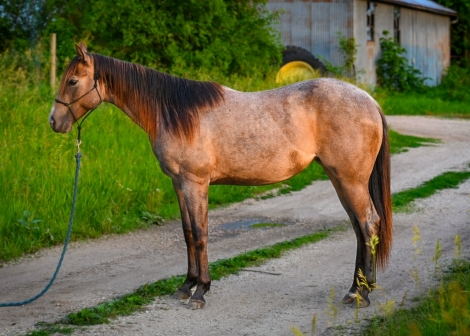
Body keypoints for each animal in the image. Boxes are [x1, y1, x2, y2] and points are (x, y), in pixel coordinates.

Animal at [49, 42, 392, 310]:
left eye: (73, 81)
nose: (54, 121)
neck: (176, 112)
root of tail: (370, 102)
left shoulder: (195, 183)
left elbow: (201, 234)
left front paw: (200, 291)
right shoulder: (179, 184)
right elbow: (188, 233)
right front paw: (186, 286)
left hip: (349, 181)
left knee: (368, 224)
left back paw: (359, 294)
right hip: (341, 180)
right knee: (360, 229)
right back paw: (358, 288)